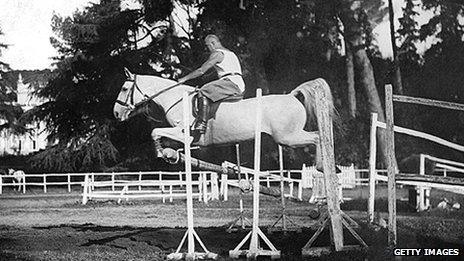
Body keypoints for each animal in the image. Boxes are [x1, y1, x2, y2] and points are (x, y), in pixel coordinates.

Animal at [113, 68, 336, 167]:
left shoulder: (184, 133)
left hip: (288, 137)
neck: (177, 99)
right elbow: (162, 136)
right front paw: (167, 153)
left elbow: (155, 131)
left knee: (317, 137)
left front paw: (160, 152)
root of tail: (291, 95)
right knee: (318, 137)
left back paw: (321, 167)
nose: (116, 113)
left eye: (124, 89)